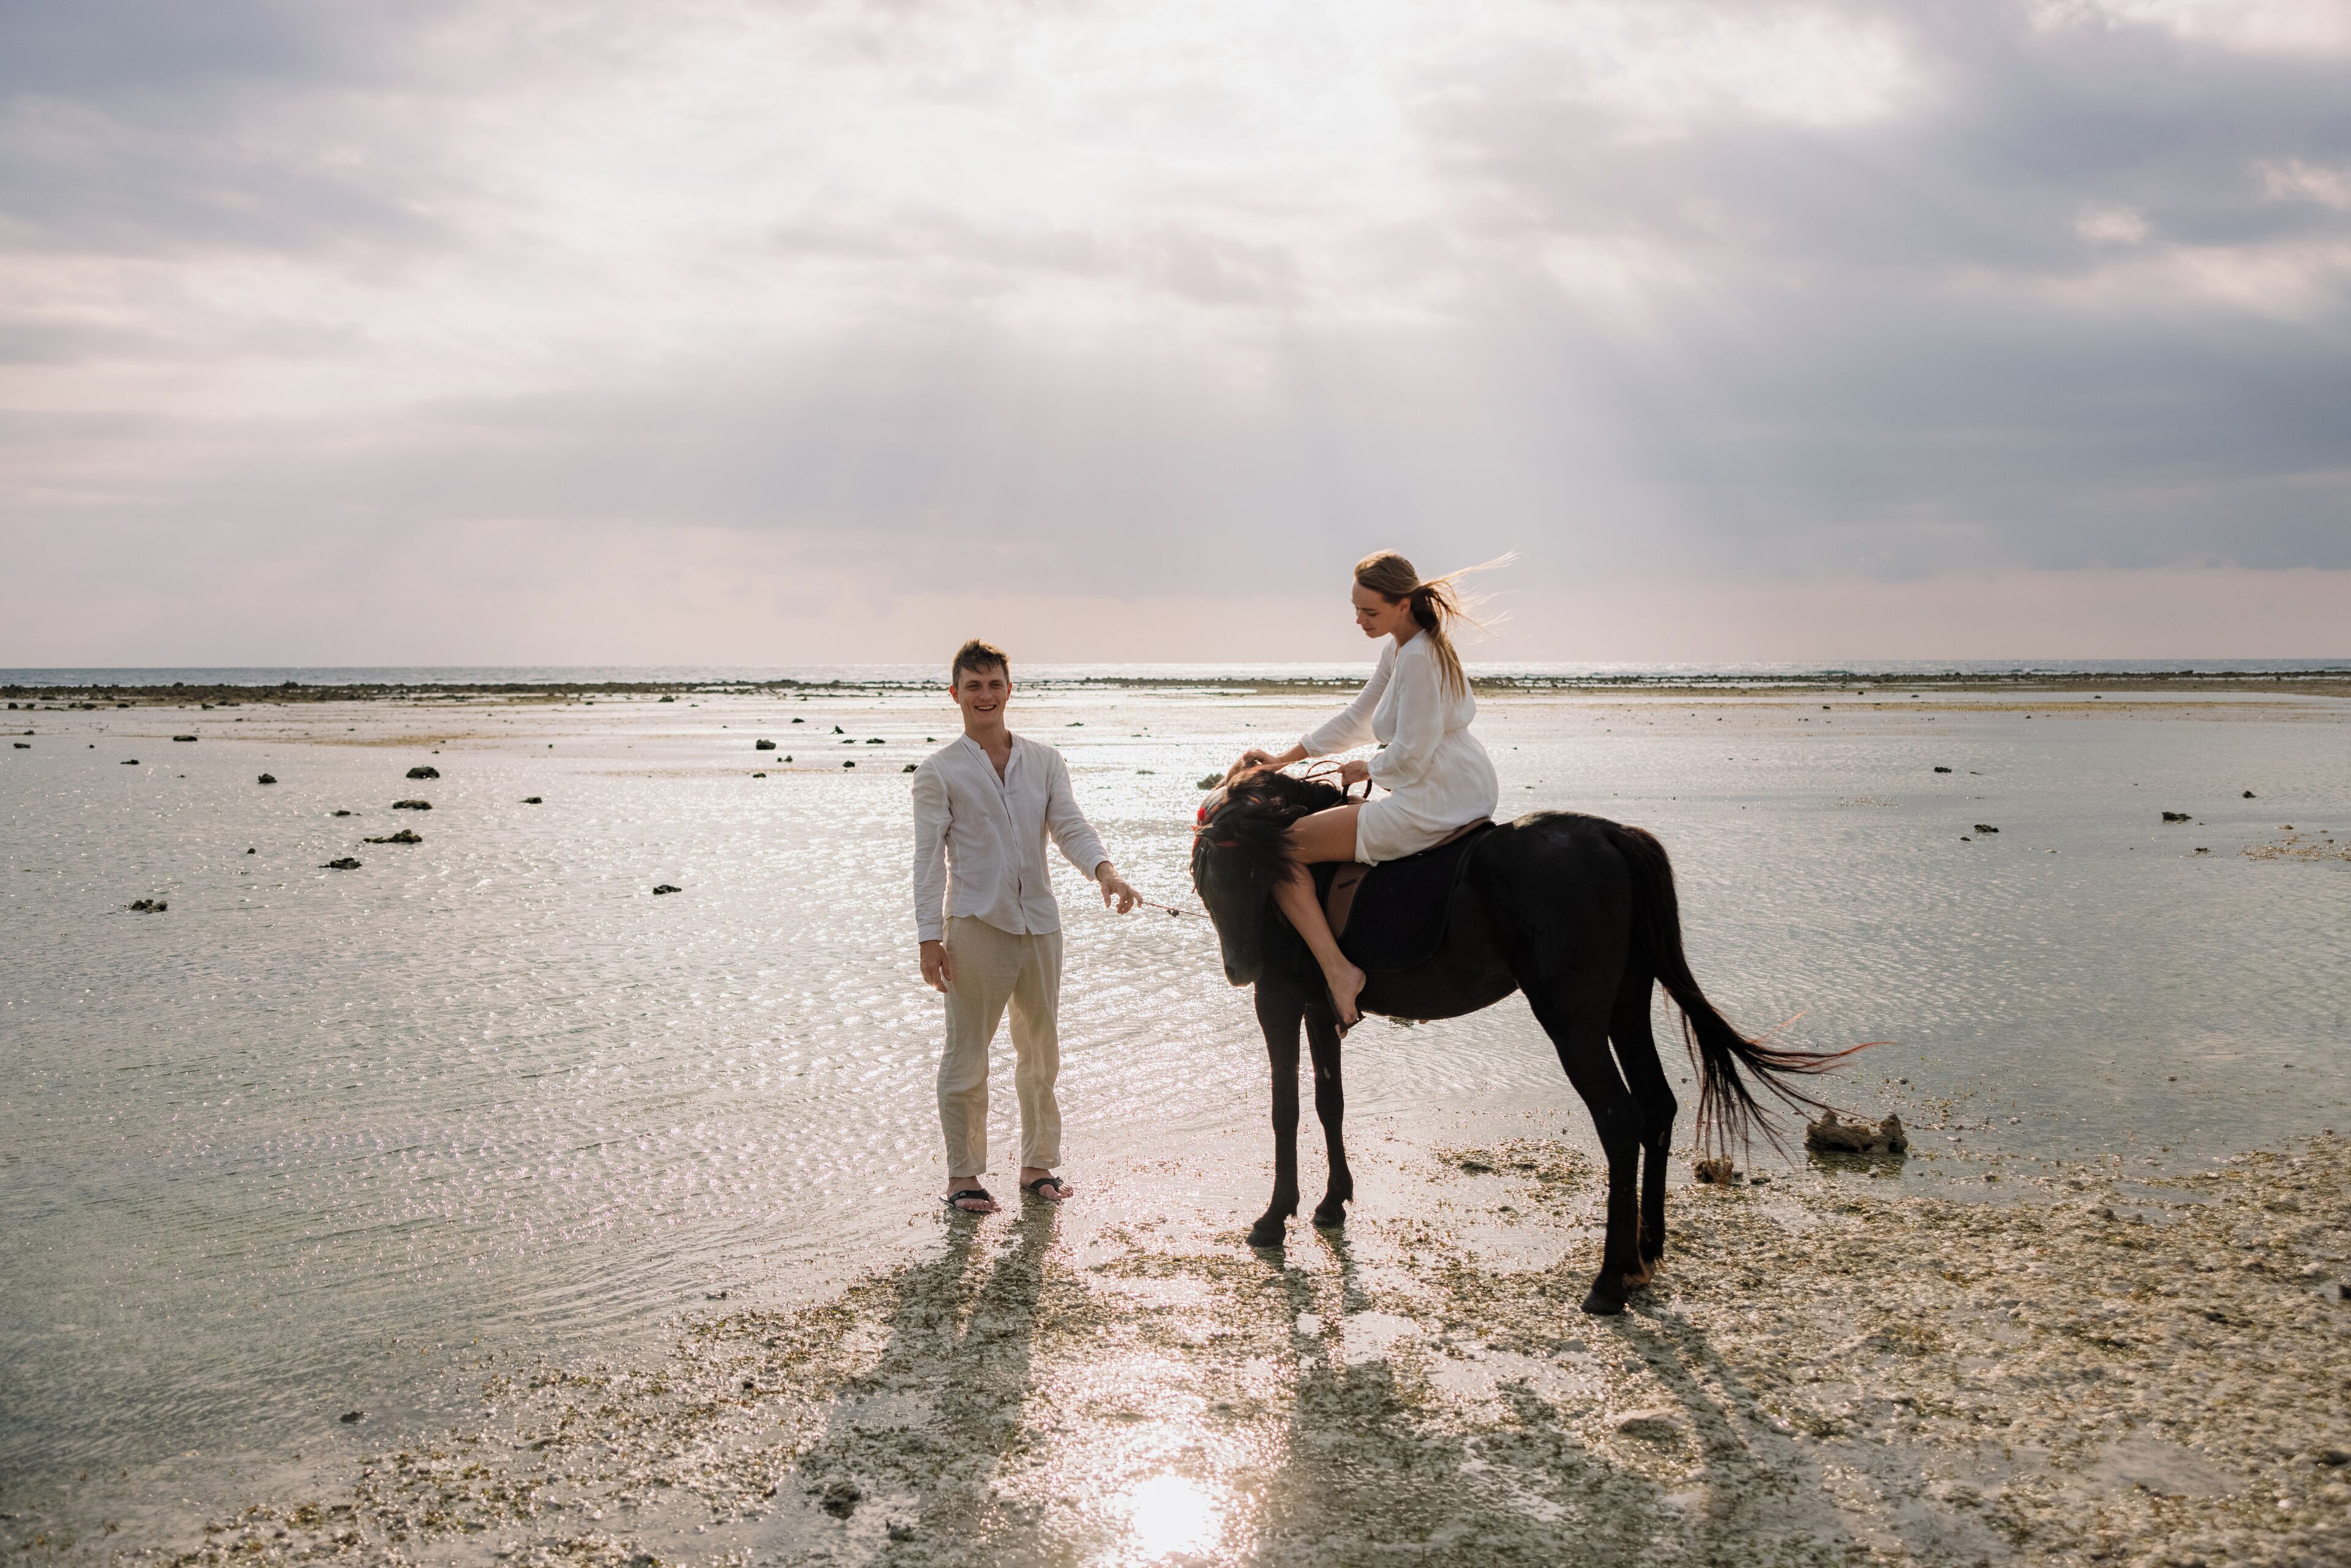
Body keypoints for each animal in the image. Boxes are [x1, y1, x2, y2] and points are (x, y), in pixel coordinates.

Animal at [1189, 766, 1859, 1315]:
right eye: (1209, 879)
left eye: (1251, 873)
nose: (1241, 968)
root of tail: (1610, 836)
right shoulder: (1317, 1006)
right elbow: (1331, 1102)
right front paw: (1332, 1201)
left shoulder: (1278, 1000)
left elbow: (1285, 1108)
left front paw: (1274, 1216)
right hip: (1625, 1005)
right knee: (1658, 1106)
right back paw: (1645, 1253)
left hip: (1573, 1020)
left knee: (1620, 1120)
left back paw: (1609, 1281)